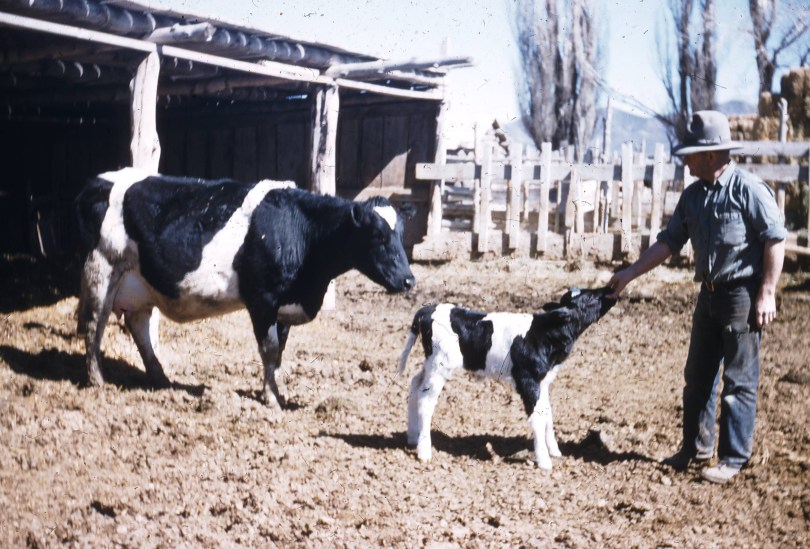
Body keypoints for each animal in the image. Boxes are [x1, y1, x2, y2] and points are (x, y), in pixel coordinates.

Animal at [75, 167, 416, 410]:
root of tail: (99, 182)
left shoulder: (284, 305)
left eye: (401, 234)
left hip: (139, 283)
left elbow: (279, 354)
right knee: (94, 323)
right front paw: (272, 400)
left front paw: (275, 391)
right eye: (376, 236)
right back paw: (97, 380)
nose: (409, 280)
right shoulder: (262, 299)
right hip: (102, 268)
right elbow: (269, 349)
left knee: (139, 326)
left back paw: (161, 380)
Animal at [396, 287, 616, 470]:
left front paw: (554, 450)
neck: (544, 332)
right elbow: (537, 418)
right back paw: (424, 451)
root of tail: (428, 309)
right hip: (440, 366)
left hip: (430, 364)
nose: (610, 290)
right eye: (590, 296)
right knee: (426, 401)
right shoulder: (528, 380)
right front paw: (544, 461)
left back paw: (412, 437)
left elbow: (547, 413)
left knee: (415, 384)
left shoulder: (543, 381)